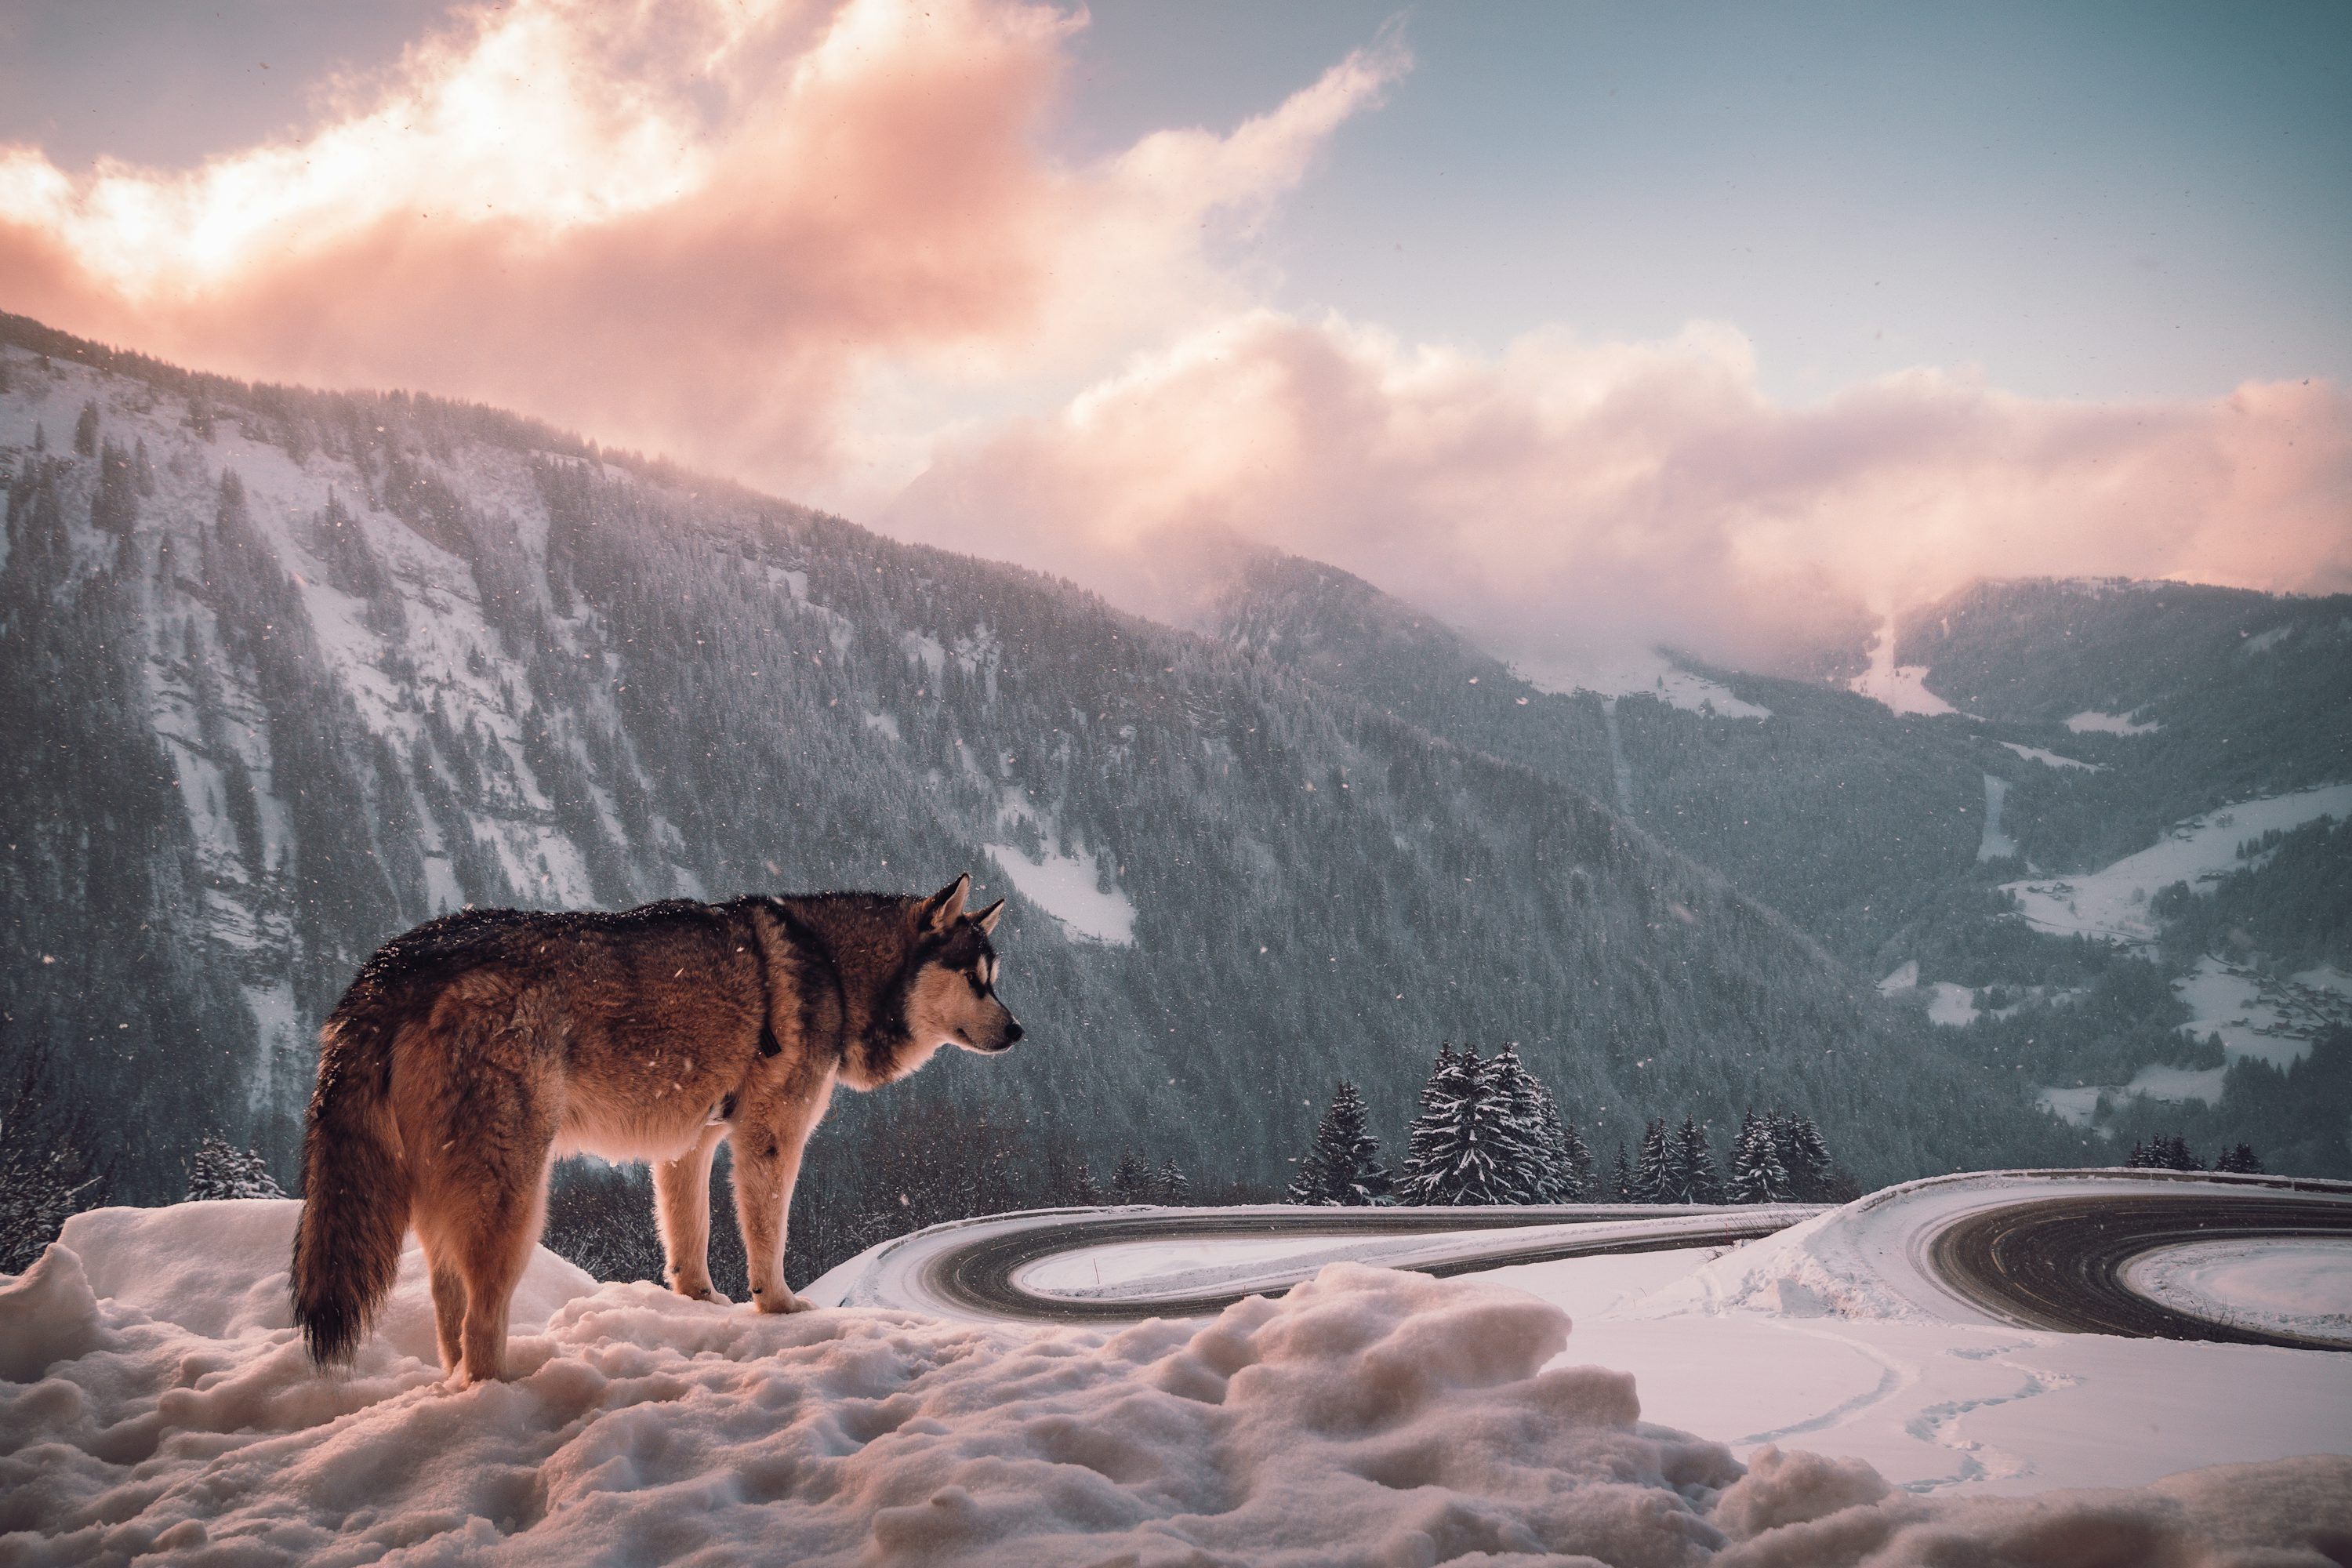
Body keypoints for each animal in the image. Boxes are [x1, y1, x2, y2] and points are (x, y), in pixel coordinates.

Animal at [290, 874, 1018, 1385]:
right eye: (976, 980)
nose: (1018, 1031)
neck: (835, 968)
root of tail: (393, 963)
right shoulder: (770, 1135)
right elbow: (768, 1237)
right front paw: (779, 1308)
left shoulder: (687, 1145)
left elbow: (688, 1240)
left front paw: (702, 1303)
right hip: (515, 1199)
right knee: (479, 1324)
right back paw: (510, 1391)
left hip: (445, 1202)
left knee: (450, 1321)